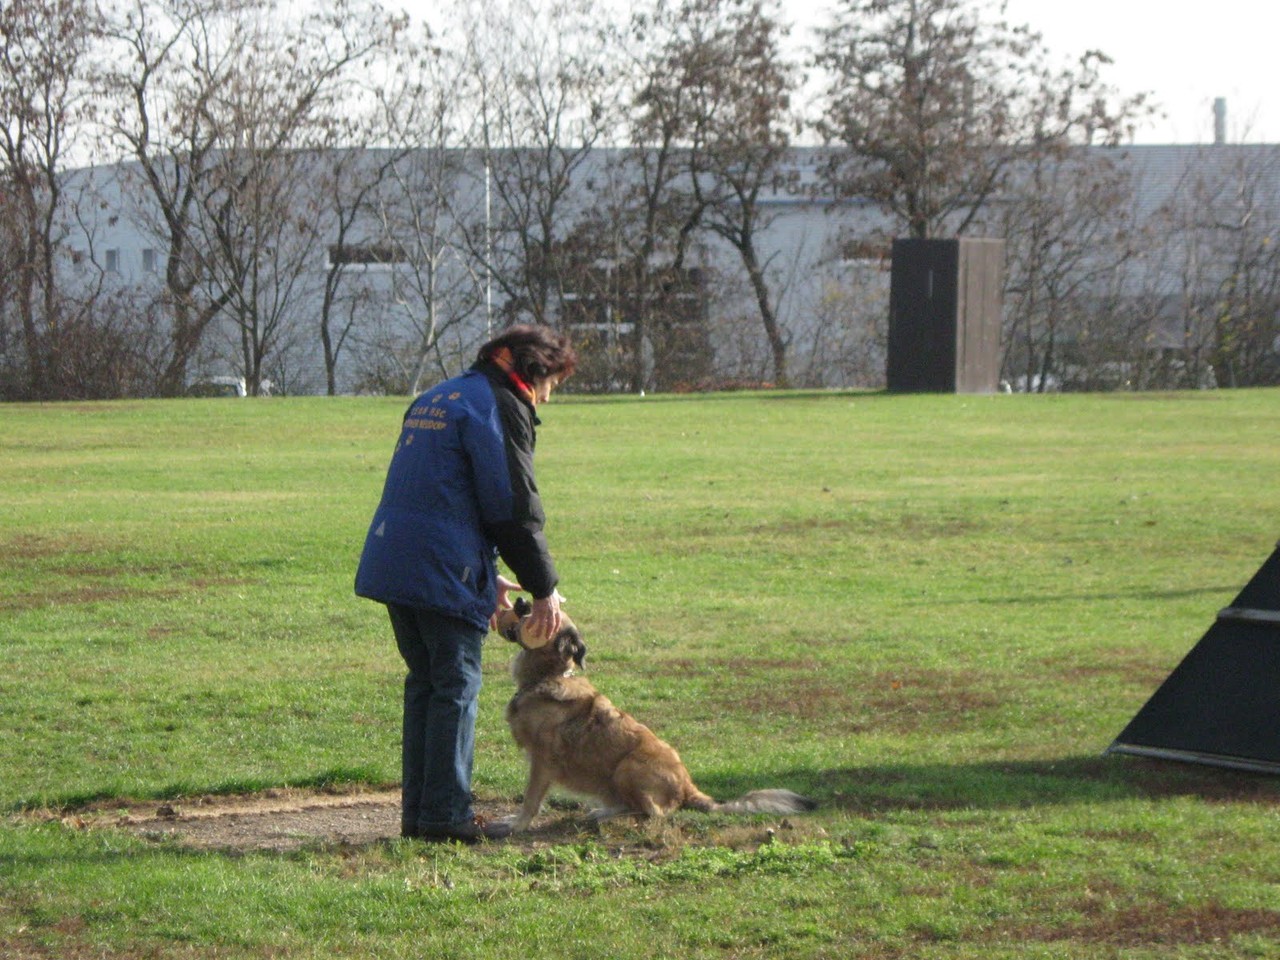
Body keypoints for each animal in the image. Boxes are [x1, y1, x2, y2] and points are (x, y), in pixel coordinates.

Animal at [494, 598, 816, 832]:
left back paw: (610, 818)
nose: (519, 600)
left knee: (652, 814)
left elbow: (531, 799)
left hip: (627, 767)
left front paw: (517, 825)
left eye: (538, 611)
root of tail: (688, 789)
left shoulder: (542, 761)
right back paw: (603, 812)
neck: (545, 676)